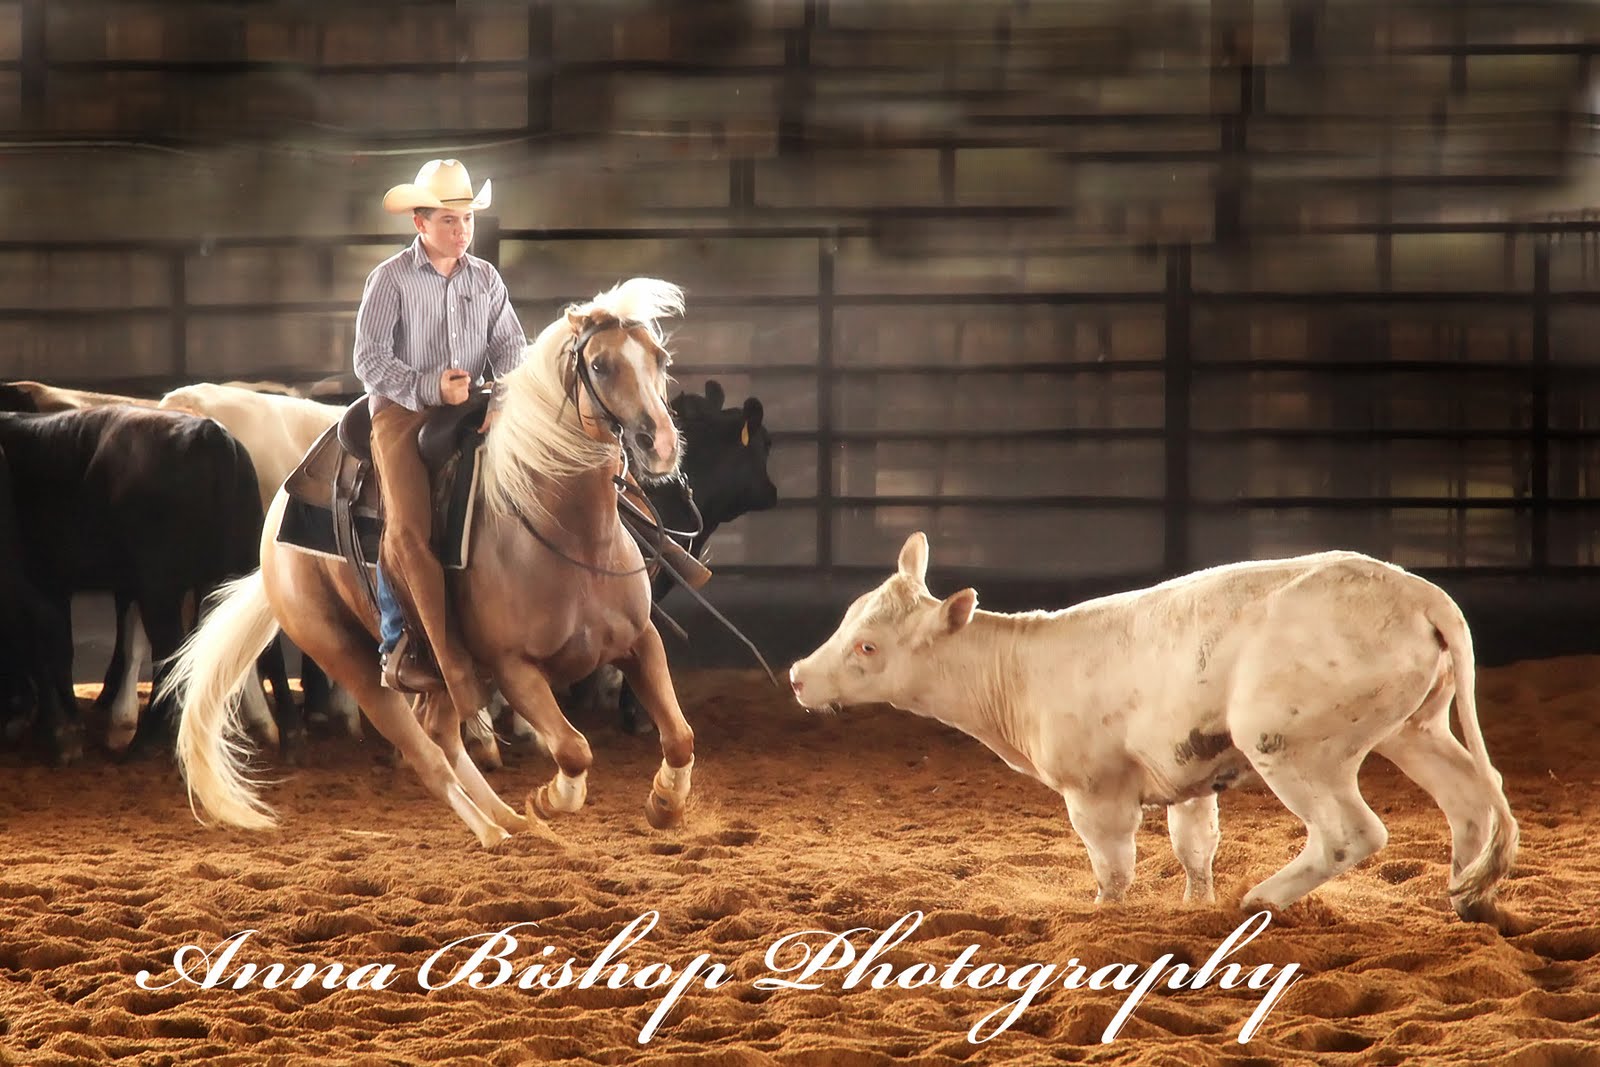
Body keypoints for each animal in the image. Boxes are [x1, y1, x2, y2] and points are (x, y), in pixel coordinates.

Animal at [163, 278, 699, 847]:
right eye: (600, 365)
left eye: (659, 358)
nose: (661, 444)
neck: (572, 539)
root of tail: (274, 537)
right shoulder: (514, 669)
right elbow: (573, 749)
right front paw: (548, 799)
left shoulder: (640, 640)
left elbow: (680, 735)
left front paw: (664, 804)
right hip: (352, 661)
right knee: (427, 755)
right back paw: (493, 832)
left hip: (440, 668)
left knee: (443, 734)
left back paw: (509, 821)